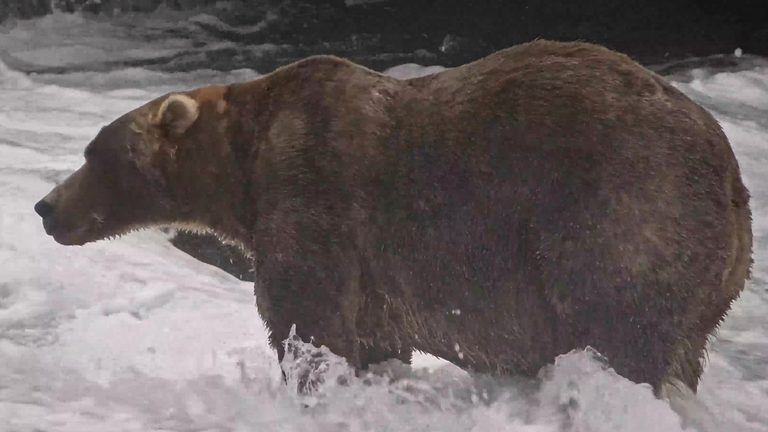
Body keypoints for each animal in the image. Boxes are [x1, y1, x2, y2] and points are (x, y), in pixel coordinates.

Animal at [34, 40, 752, 394]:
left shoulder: (315, 192)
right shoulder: (377, 274)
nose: (46, 207)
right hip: (713, 277)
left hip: (619, 210)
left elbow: (307, 318)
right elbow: (375, 337)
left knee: (619, 326)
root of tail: (730, 172)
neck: (243, 166)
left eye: (94, 153)